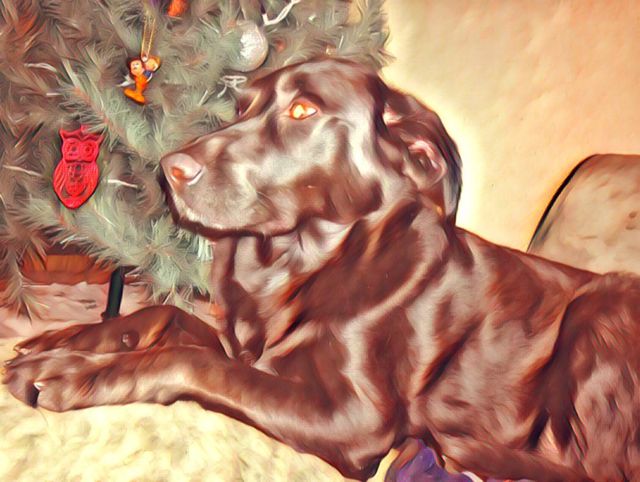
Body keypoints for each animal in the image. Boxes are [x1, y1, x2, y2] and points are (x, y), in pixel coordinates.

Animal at [4, 58, 640, 481]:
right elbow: (165, 317)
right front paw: (64, 339)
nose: (170, 169)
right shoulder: (245, 345)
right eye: (242, 107)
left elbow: (191, 361)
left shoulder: (355, 419)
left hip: (602, 308)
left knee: (597, 470)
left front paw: (73, 373)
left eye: (304, 109)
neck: (296, 267)